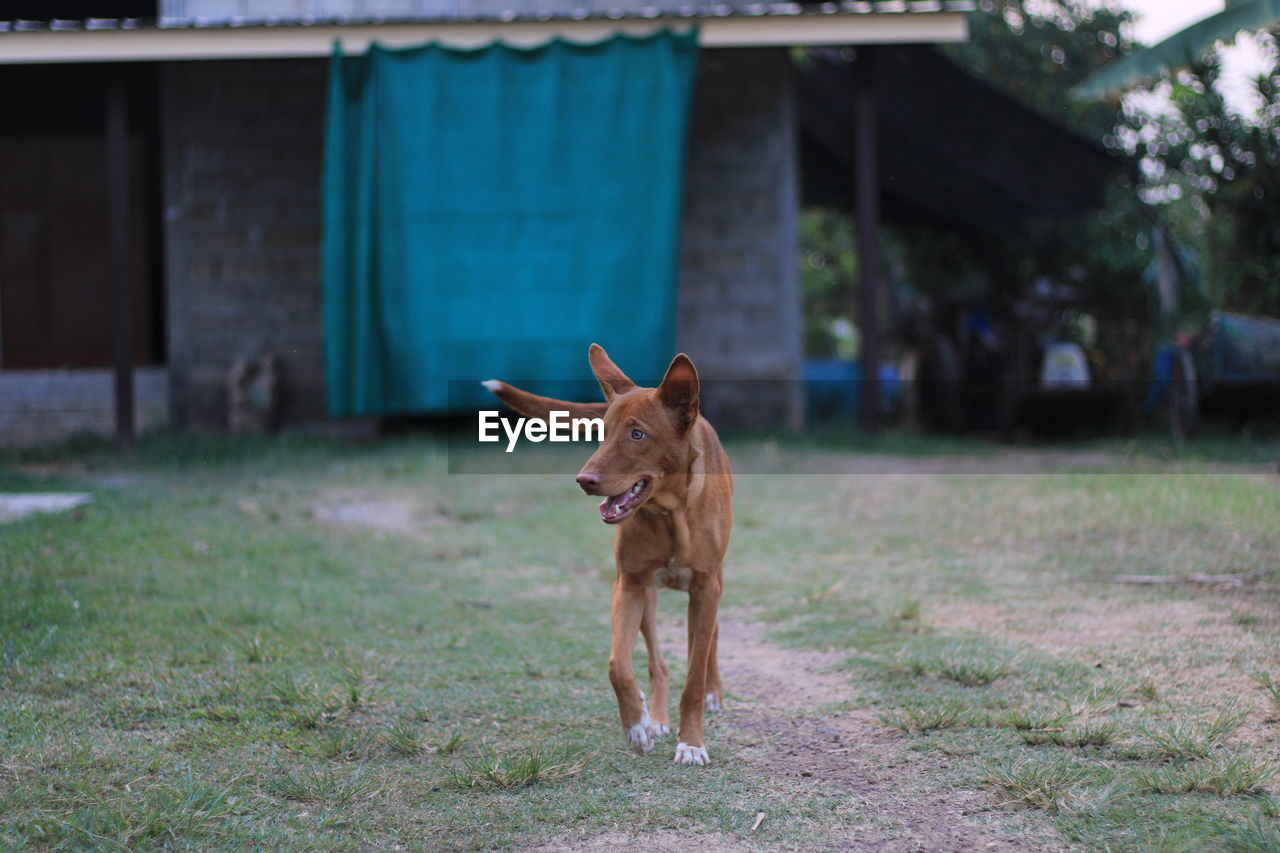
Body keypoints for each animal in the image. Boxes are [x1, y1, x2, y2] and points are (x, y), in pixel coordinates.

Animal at [483, 345, 737, 763]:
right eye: (601, 434)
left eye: (637, 434)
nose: (584, 481)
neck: (670, 512)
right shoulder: (628, 586)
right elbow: (618, 664)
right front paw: (637, 725)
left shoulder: (706, 587)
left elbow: (694, 677)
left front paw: (691, 742)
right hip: (648, 595)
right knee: (658, 662)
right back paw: (657, 717)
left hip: (713, 583)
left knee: (708, 638)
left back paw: (712, 693)